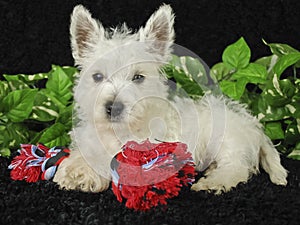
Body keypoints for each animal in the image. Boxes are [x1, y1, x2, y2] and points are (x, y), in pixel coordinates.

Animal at [52, 3, 288, 193]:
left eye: (138, 77)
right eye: (98, 77)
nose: (113, 108)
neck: (120, 130)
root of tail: (255, 127)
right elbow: (87, 152)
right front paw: (75, 169)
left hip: (227, 140)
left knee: (237, 168)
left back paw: (213, 182)